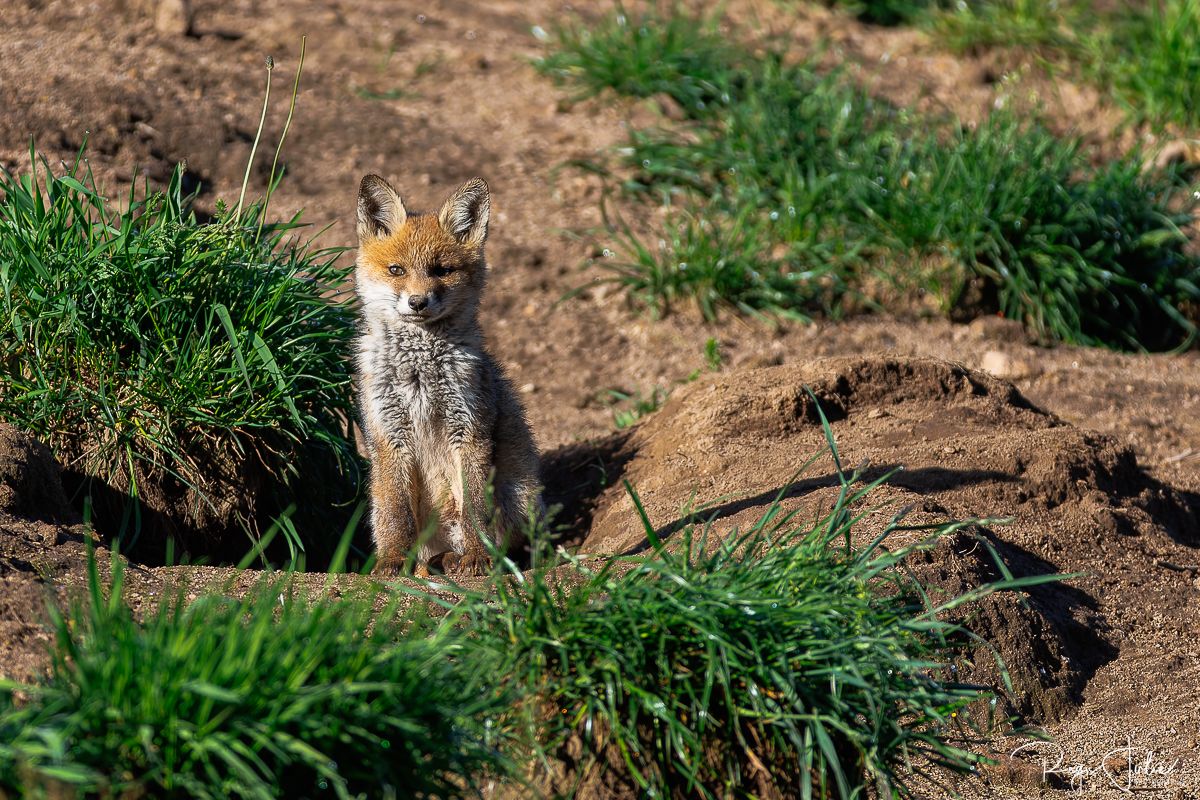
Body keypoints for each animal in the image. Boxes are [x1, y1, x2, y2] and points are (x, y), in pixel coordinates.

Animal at [352, 173, 542, 575]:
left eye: (442, 270)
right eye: (396, 270)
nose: (417, 302)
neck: (420, 371)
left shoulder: (469, 429)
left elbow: (475, 509)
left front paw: (478, 556)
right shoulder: (389, 434)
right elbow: (397, 514)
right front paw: (394, 560)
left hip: (517, 491)